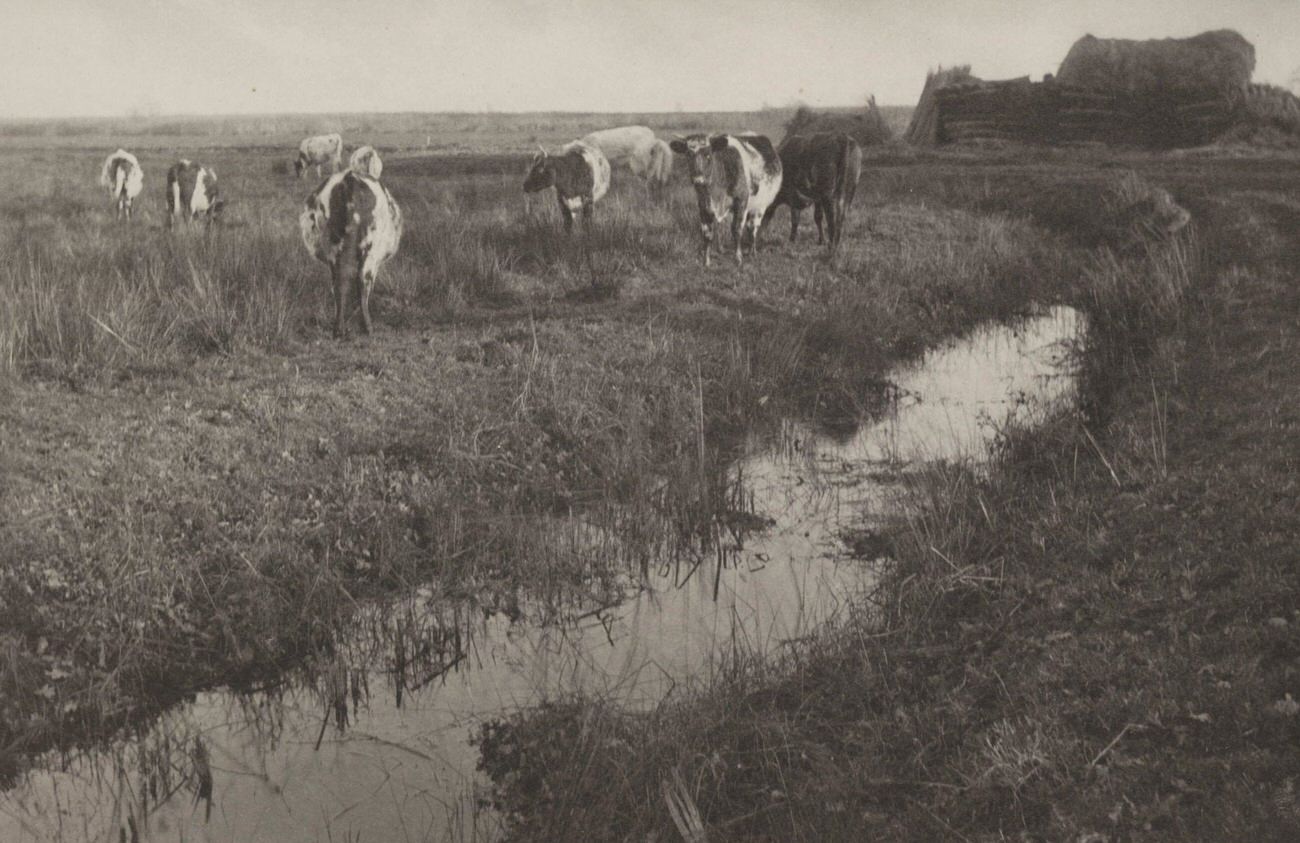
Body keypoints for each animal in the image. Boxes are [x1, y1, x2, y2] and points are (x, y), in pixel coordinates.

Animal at [299, 171, 403, 337]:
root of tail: (350, 181)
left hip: (334, 248)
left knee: (339, 283)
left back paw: (338, 329)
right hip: (370, 249)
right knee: (363, 282)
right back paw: (367, 327)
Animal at [669, 133, 782, 267]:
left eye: (708, 154)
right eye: (688, 154)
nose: (698, 180)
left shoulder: (741, 201)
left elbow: (736, 229)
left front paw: (738, 259)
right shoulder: (703, 205)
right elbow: (707, 233)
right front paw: (706, 261)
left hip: (759, 205)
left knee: (752, 227)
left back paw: (752, 252)